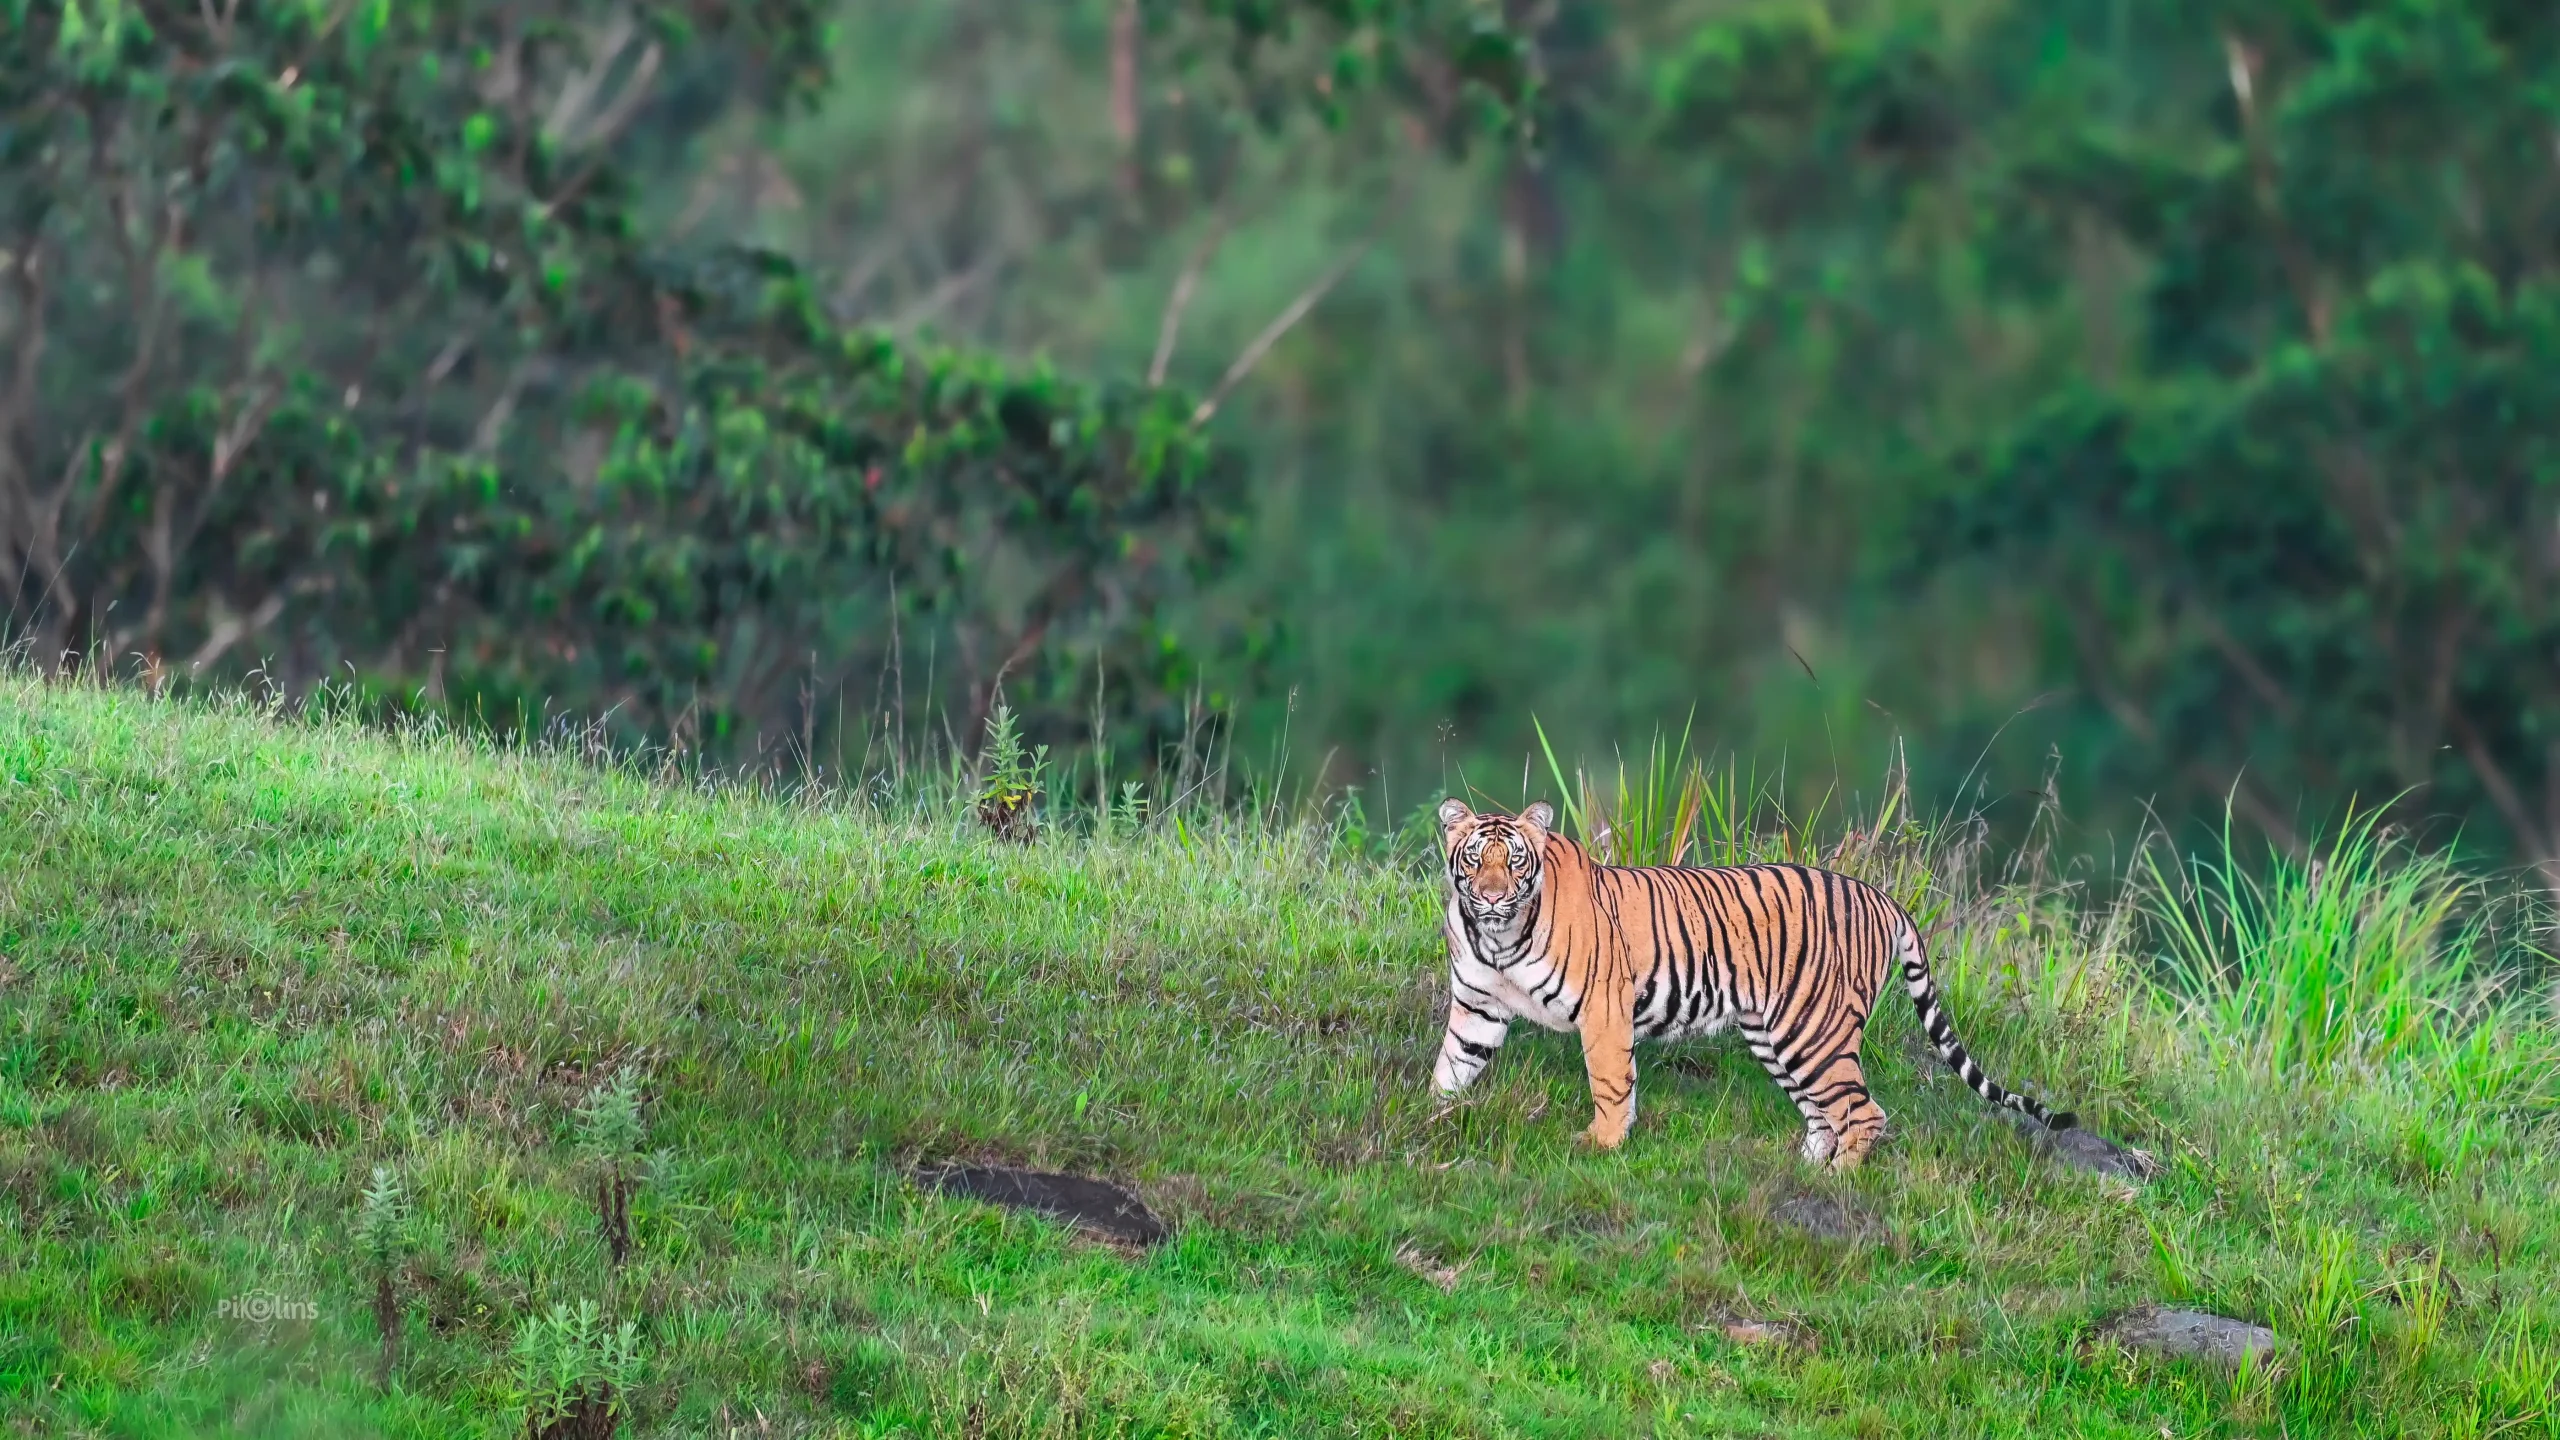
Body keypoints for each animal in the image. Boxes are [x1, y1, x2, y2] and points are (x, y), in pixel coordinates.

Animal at [1429, 798, 2075, 1170]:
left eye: (1514, 862)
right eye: (1475, 859)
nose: (1491, 897)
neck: (1499, 937)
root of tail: (1884, 898)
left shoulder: (1604, 1009)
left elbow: (1610, 1084)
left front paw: (1601, 1146)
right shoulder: (1478, 1006)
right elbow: (1452, 1065)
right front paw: (1428, 1117)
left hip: (1812, 1033)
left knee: (1864, 1114)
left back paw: (1834, 1183)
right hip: (1776, 1035)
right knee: (1823, 1115)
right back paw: (1802, 1170)